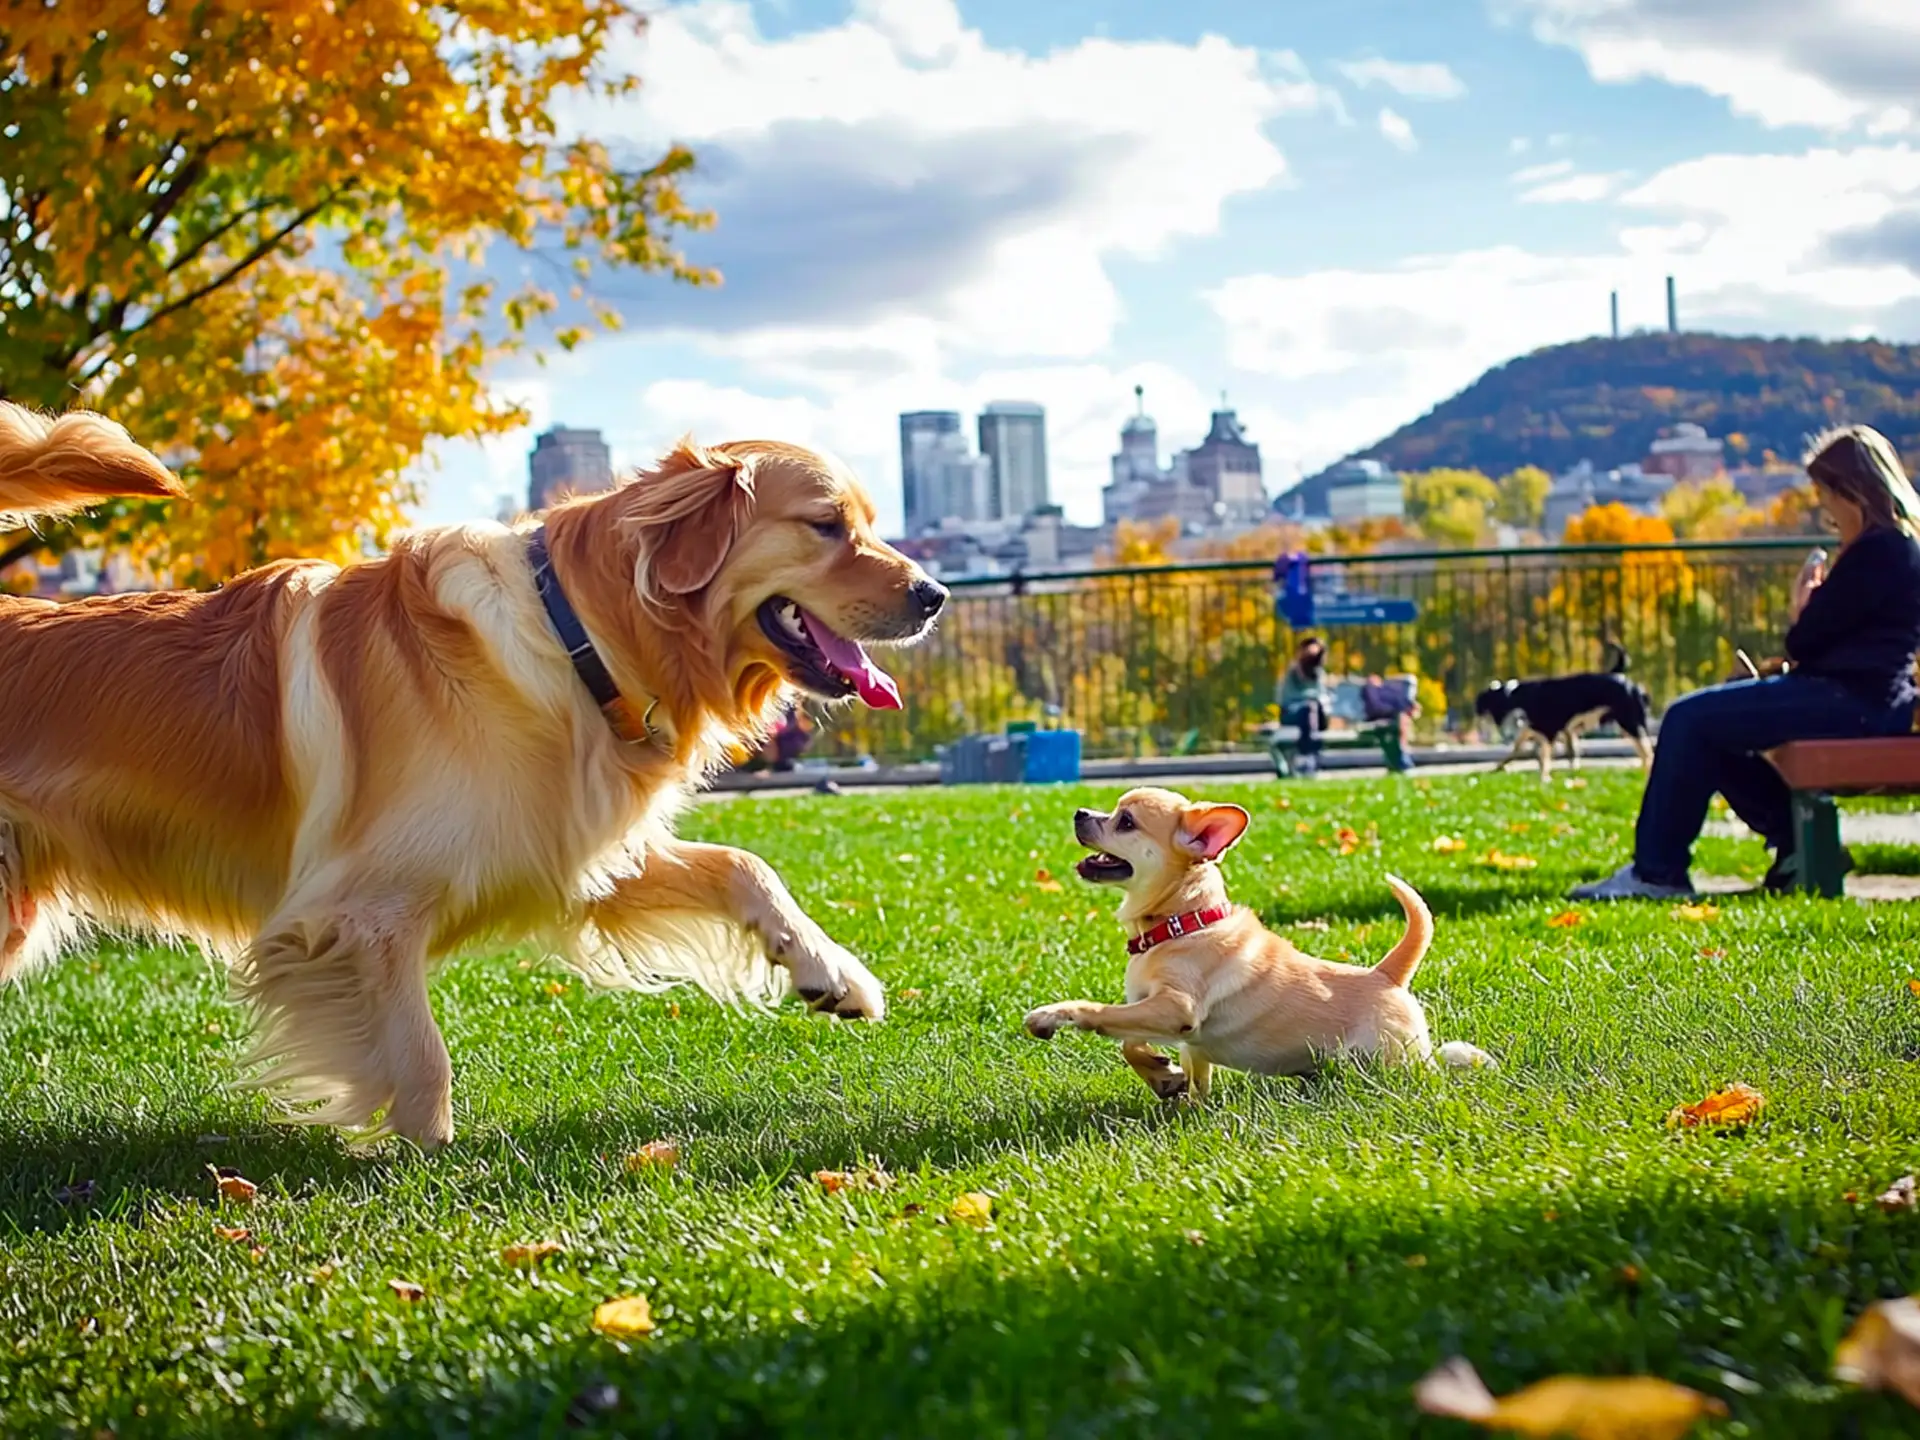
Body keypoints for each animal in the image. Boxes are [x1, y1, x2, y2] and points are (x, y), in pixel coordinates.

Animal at [1021, 794, 1482, 1098]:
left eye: (1126, 822)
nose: (1080, 813)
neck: (1180, 924)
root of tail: (1387, 974)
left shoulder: (1176, 1008)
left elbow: (1101, 1014)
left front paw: (1051, 1015)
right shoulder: (1175, 1028)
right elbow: (1133, 1040)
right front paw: (1166, 1078)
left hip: (1390, 1059)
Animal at [1474, 641, 1658, 779]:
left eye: (1482, 706)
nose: (1477, 716)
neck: (1514, 697)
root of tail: (1630, 684)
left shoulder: (1549, 731)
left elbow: (1543, 757)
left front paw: (1544, 778)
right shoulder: (1538, 731)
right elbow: (1517, 751)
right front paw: (1498, 767)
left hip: (1631, 723)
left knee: (1647, 752)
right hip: (1628, 725)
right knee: (1644, 751)